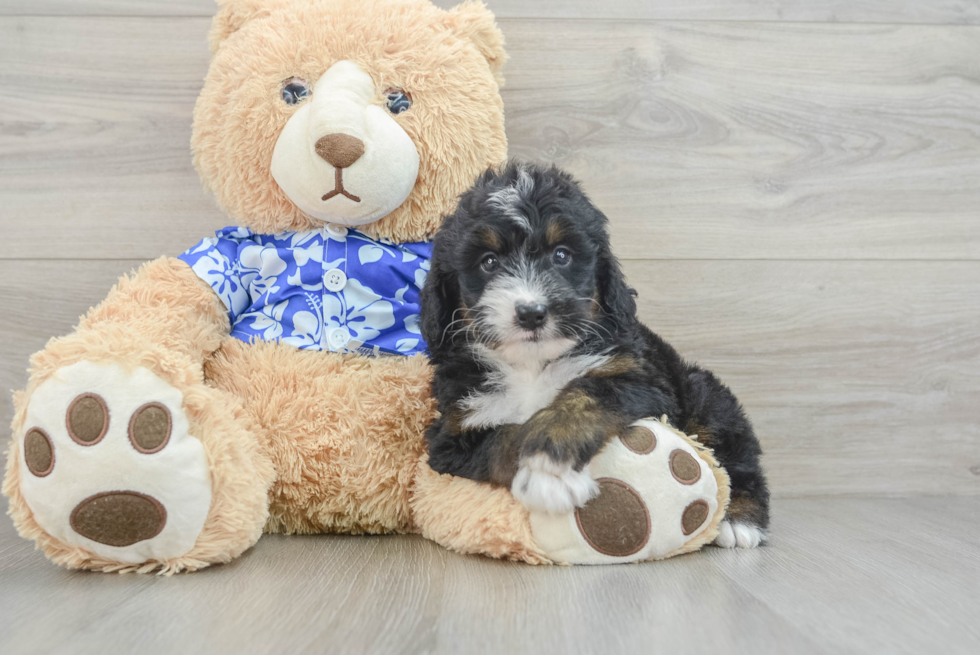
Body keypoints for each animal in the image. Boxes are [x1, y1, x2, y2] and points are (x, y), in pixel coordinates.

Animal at [418, 163, 768, 548]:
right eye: (489, 262)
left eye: (561, 255)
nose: (531, 313)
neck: (531, 365)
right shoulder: (452, 435)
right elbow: (500, 440)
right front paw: (545, 474)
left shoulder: (640, 379)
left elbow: (586, 396)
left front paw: (549, 461)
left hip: (702, 393)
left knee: (736, 456)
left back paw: (740, 520)